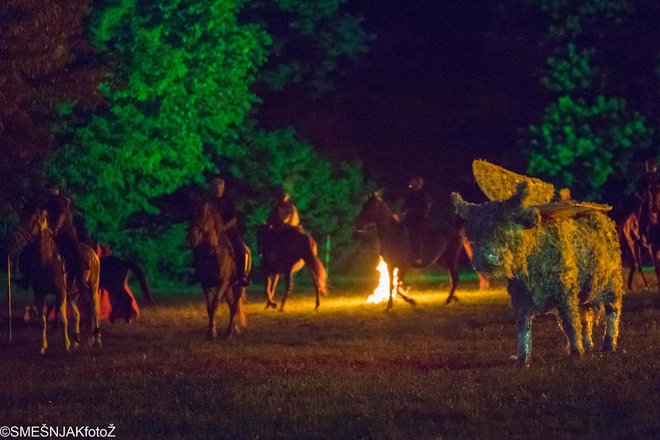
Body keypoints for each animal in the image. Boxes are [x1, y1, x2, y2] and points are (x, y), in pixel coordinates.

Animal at [9, 204, 101, 354]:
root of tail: (93, 253)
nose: (14, 238)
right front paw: (43, 347)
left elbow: (63, 319)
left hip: (92, 289)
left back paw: (97, 340)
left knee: (94, 312)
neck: (48, 260)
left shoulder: (60, 292)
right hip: (72, 294)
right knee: (77, 314)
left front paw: (66, 345)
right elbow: (42, 321)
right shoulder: (40, 294)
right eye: (21, 216)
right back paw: (77, 341)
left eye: (30, 219)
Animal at [188, 199, 248, 340]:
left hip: (238, 286)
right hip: (228, 287)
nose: (192, 238)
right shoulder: (205, 284)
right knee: (232, 305)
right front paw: (211, 331)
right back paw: (234, 329)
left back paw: (229, 332)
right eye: (192, 215)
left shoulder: (222, 283)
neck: (212, 253)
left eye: (204, 216)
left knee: (235, 306)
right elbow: (209, 307)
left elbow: (215, 304)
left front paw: (214, 332)